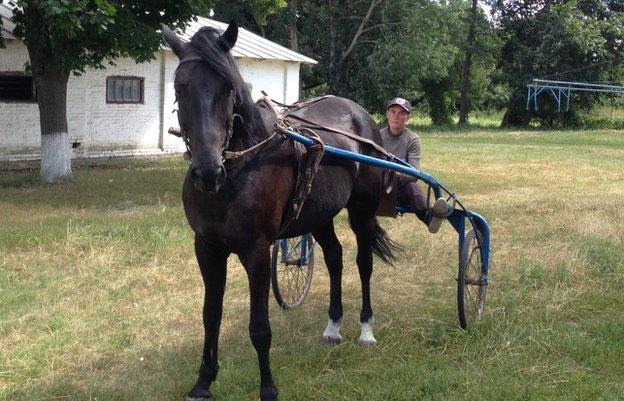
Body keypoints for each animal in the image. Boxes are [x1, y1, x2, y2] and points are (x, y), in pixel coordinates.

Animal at [163, 21, 398, 400]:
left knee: (364, 263)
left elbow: (260, 327)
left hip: (361, 210)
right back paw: (333, 325)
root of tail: (360, 115)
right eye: (180, 87)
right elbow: (210, 315)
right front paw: (203, 382)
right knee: (334, 257)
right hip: (318, 214)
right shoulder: (207, 248)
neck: (238, 170)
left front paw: (268, 388)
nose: (207, 171)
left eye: (228, 87)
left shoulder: (257, 250)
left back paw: (366, 329)